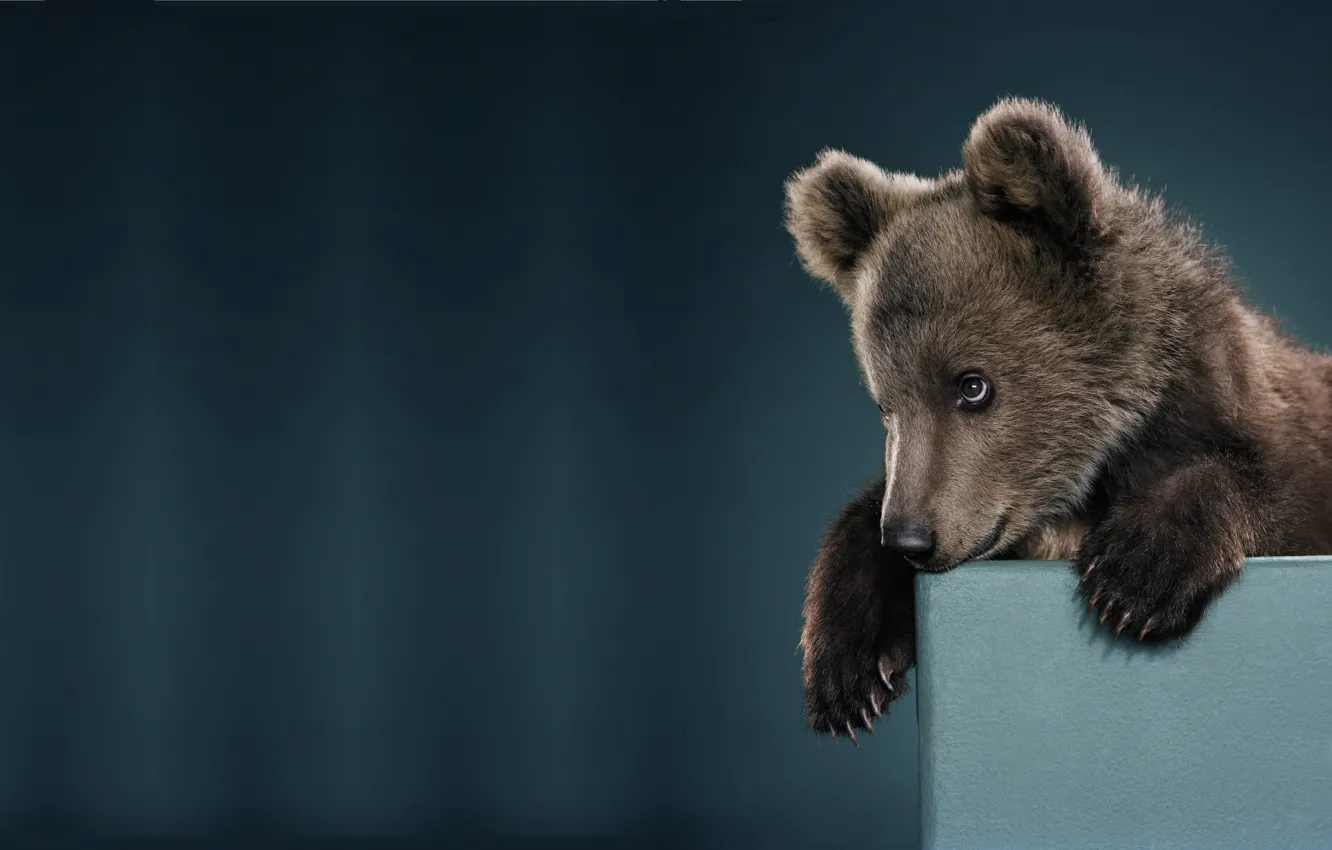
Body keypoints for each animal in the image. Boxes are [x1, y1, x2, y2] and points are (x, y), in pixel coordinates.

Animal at [783, 97, 1332, 743]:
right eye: (884, 405)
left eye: (973, 386)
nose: (910, 537)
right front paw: (849, 667)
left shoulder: (1261, 434)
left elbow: (1253, 486)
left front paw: (1134, 578)